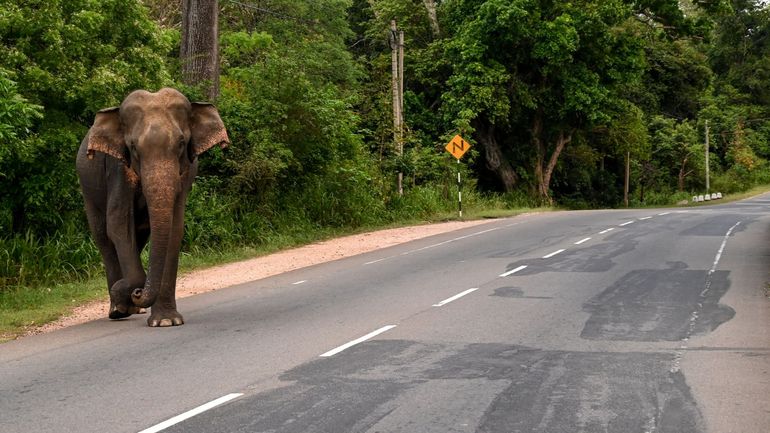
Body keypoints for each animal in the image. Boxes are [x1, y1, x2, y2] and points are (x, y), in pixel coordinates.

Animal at [76, 87, 230, 324]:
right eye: (133, 147)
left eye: (181, 143)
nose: (137, 293)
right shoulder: (117, 170)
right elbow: (119, 225)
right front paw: (127, 293)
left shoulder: (185, 173)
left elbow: (174, 228)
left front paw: (166, 321)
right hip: (89, 194)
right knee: (104, 238)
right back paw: (118, 310)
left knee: (137, 239)